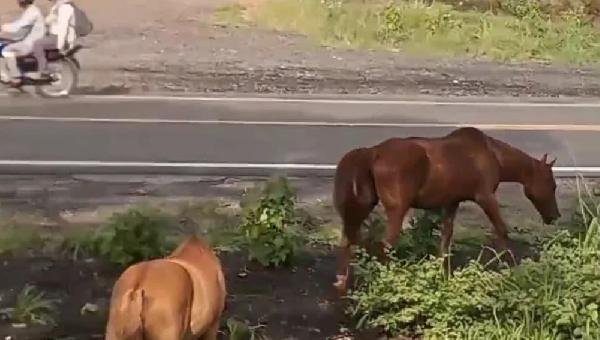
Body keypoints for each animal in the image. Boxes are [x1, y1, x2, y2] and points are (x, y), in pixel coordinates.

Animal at [332, 127, 564, 294]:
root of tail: (373, 152)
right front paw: (510, 266)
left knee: (348, 240)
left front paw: (442, 273)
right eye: (551, 184)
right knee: (384, 246)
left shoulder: (452, 203)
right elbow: (502, 230)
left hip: (362, 206)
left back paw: (341, 281)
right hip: (396, 210)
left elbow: (445, 239)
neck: (493, 154)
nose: (554, 216)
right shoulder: (485, 197)